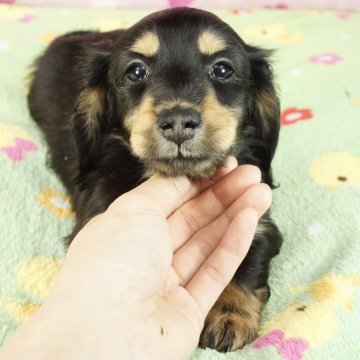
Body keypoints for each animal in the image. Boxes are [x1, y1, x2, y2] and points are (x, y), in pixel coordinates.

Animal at [27, 7, 282, 352]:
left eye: (222, 69)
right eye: (136, 71)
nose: (178, 123)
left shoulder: (260, 221)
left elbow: (247, 255)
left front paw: (229, 314)